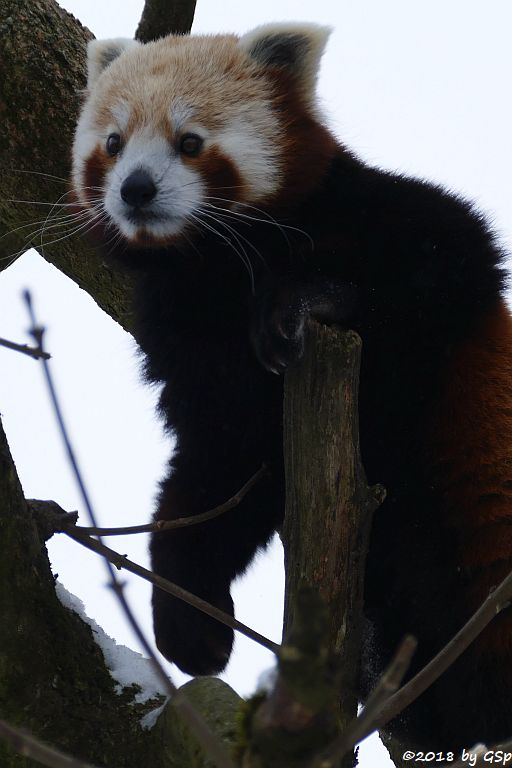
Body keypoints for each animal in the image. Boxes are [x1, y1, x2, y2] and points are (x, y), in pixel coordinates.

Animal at [71, 22, 512, 752]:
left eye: (189, 142)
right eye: (112, 143)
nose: (134, 188)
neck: (215, 267)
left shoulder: (387, 217)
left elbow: (449, 251)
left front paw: (305, 303)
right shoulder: (199, 359)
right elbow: (220, 471)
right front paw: (190, 621)